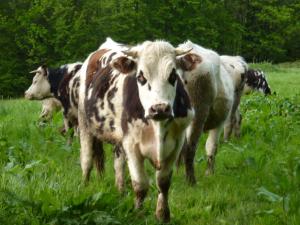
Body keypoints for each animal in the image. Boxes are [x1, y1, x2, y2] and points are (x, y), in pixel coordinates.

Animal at [77, 38, 195, 221]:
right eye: (141, 77)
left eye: (173, 75)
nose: (159, 108)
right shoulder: (132, 145)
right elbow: (140, 185)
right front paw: (138, 213)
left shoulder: (176, 143)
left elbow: (163, 182)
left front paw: (163, 214)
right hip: (84, 123)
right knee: (87, 159)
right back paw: (85, 184)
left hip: (119, 139)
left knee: (118, 165)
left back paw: (120, 191)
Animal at [176, 40, 234, 185]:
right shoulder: (219, 123)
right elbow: (211, 146)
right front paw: (209, 173)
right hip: (199, 112)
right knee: (190, 148)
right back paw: (191, 181)